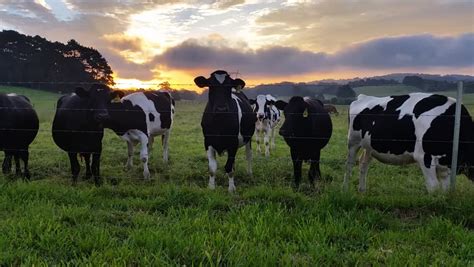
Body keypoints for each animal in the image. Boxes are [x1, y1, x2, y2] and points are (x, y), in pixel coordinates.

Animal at [344, 93, 474, 194]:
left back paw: (362, 190)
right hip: (353, 142)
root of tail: (362, 97)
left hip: (369, 147)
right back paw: (344, 189)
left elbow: (445, 190)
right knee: (349, 165)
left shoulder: (446, 165)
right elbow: (434, 188)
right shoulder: (424, 157)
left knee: (363, 164)